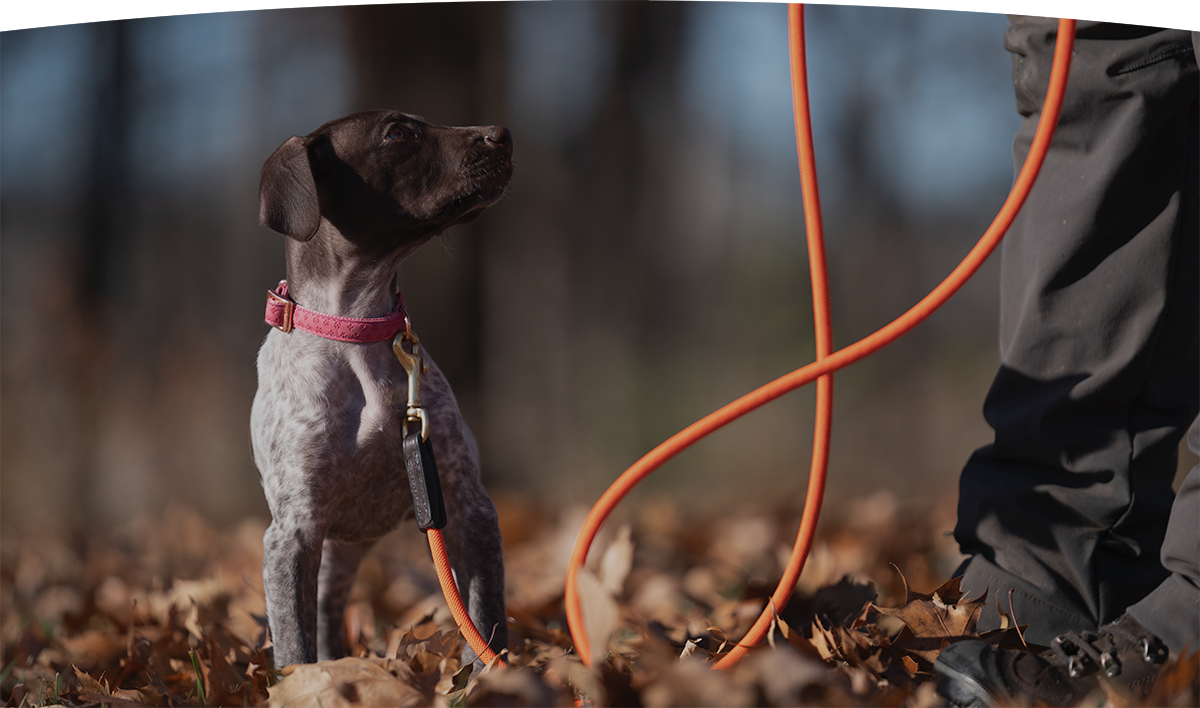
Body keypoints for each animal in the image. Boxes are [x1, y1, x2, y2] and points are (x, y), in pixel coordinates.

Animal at [250, 111, 513, 672]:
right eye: (398, 133)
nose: (503, 134)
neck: (356, 329)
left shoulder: (466, 503)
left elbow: (484, 617)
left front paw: (490, 677)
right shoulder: (293, 532)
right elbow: (294, 646)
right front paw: (303, 684)